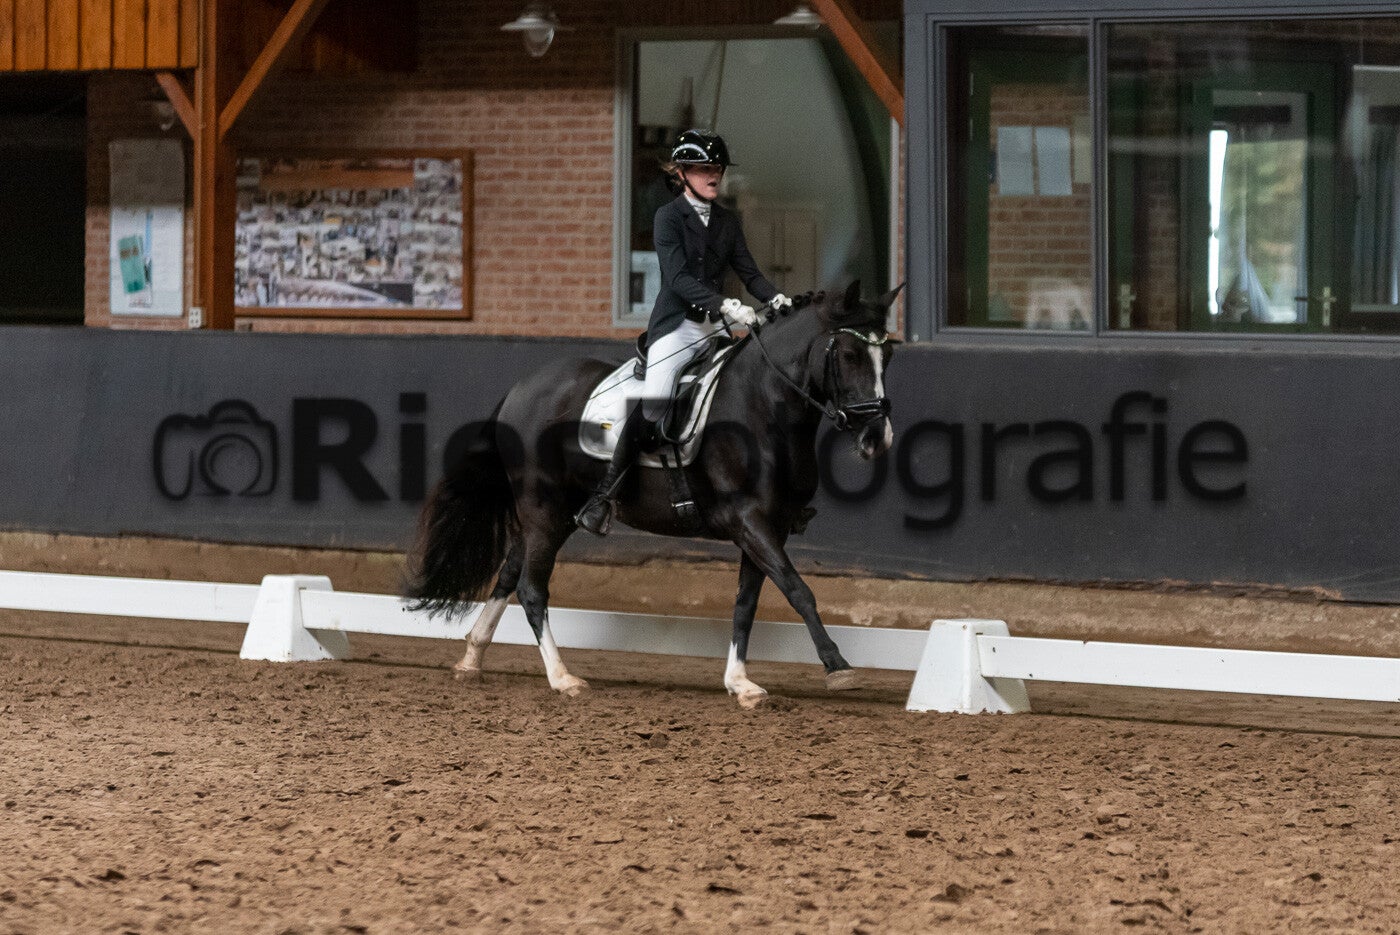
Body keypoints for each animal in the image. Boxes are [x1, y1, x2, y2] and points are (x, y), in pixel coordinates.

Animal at [406, 280, 899, 708]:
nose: (877, 438)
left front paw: (741, 684)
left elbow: (747, 603)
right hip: (542, 509)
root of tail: (521, 389)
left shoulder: (766, 528)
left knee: (509, 575)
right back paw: (563, 679)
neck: (762, 407)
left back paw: (472, 659)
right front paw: (838, 667)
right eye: (850, 353)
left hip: (556, 513)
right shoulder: (748, 520)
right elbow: (798, 590)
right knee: (531, 588)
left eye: (888, 354)